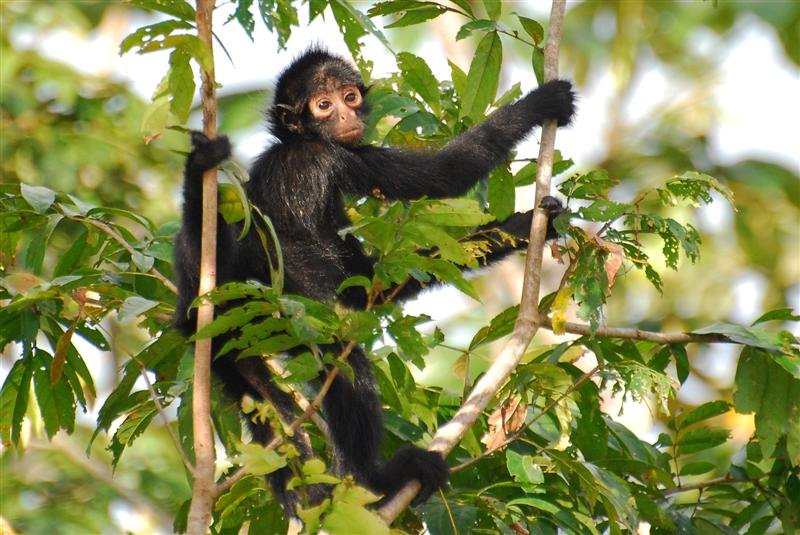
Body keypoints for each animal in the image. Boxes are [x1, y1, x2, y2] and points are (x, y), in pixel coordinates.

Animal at [175, 48, 576, 516]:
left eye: (350, 97)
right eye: (323, 105)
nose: (346, 115)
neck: (297, 143)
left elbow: (368, 287)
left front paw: (528, 225)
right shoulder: (337, 159)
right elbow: (445, 174)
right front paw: (545, 102)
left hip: (230, 345)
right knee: (343, 360)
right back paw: (377, 480)